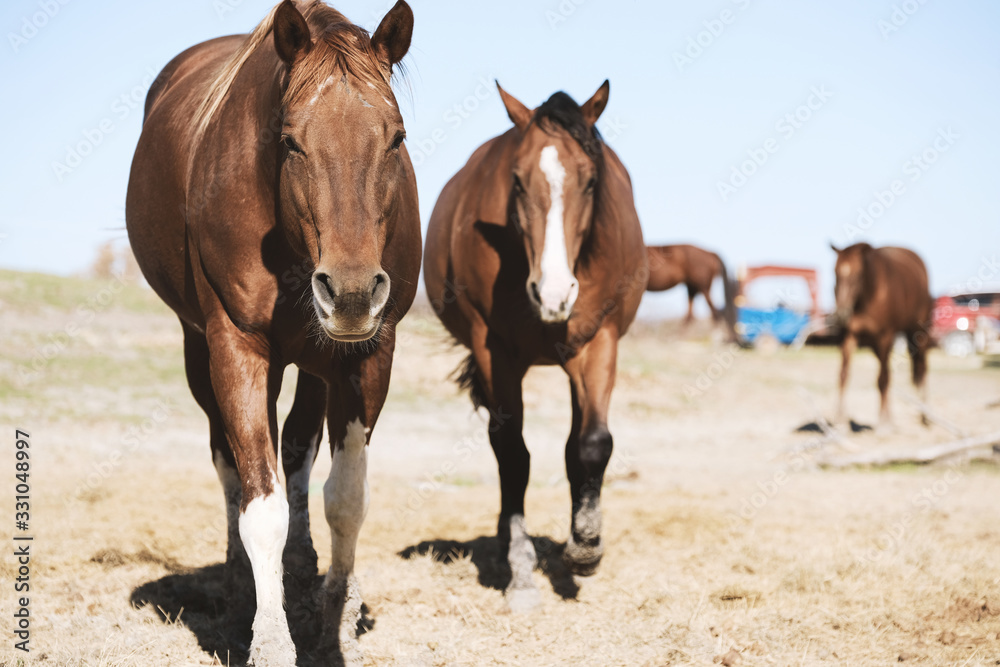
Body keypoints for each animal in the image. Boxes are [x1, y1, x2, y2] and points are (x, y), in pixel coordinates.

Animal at [124, 2, 418, 664]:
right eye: (290, 141)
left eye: (397, 137)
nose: (352, 292)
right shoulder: (237, 349)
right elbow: (260, 506)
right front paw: (270, 638)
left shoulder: (367, 355)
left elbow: (346, 498)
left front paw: (337, 621)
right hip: (202, 350)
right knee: (230, 464)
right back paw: (240, 594)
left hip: (315, 358)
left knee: (299, 452)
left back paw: (303, 576)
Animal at [424, 82, 648, 612]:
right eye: (518, 181)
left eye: (591, 180)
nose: (553, 294)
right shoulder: (495, 352)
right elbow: (514, 455)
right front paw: (522, 572)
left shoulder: (599, 342)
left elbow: (591, 444)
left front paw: (585, 547)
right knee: (505, 450)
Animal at [828, 244, 928, 428]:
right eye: (835, 271)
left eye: (858, 274)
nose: (841, 314)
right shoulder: (849, 337)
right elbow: (844, 375)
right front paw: (840, 419)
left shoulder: (885, 336)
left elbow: (881, 379)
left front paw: (882, 422)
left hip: (917, 333)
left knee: (921, 368)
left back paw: (924, 415)